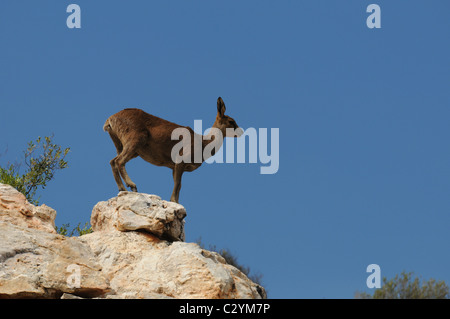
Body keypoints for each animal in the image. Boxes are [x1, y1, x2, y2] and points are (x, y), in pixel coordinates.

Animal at [103, 96, 243, 204]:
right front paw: (174, 202)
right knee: (119, 160)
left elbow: (178, 184)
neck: (203, 143)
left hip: (123, 145)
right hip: (135, 138)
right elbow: (178, 183)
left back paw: (123, 188)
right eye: (231, 121)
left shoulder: (173, 166)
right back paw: (131, 185)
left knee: (112, 161)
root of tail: (109, 120)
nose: (241, 132)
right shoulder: (181, 158)